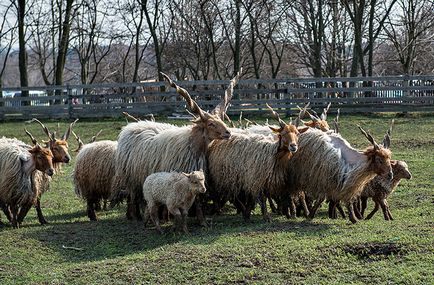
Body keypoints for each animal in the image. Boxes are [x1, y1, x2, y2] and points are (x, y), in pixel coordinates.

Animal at [111, 70, 241, 222]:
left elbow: (197, 198)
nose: (228, 133)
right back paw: (134, 216)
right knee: (132, 195)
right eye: (210, 124)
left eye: (221, 120)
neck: (192, 145)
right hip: (130, 175)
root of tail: (130, 127)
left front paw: (201, 221)